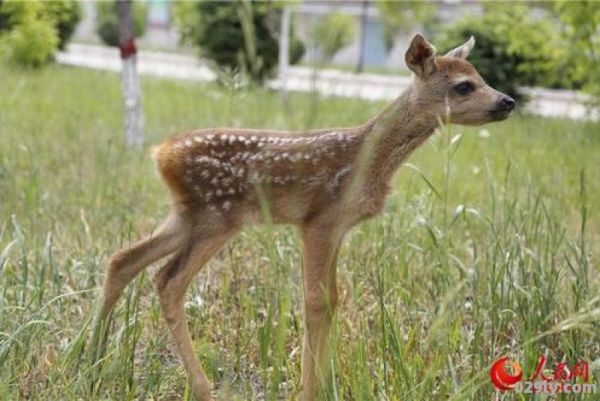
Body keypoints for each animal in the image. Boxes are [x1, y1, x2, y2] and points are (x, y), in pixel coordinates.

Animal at [97, 35, 516, 400]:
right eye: (464, 86)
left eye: (480, 76)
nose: (508, 101)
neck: (366, 159)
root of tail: (161, 154)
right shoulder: (319, 221)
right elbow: (315, 302)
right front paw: (310, 391)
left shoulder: (338, 228)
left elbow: (332, 300)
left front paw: (327, 385)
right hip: (217, 217)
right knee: (168, 281)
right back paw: (199, 388)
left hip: (188, 216)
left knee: (124, 259)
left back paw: (95, 356)